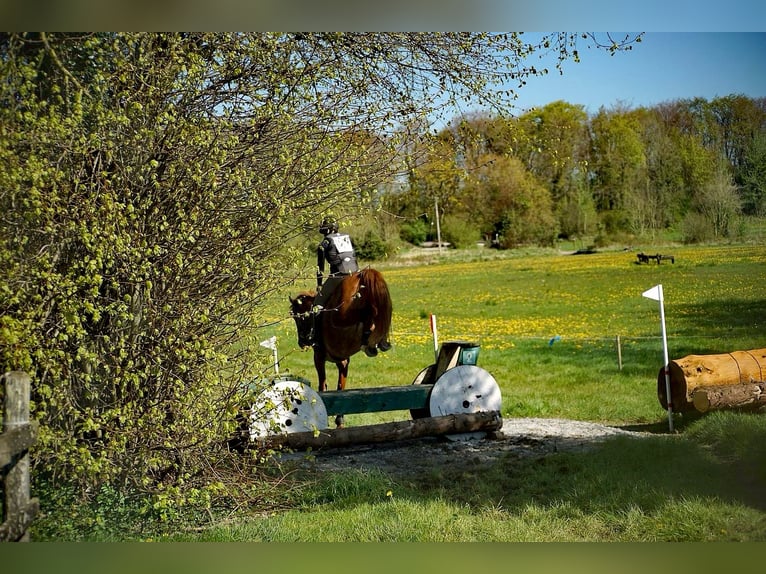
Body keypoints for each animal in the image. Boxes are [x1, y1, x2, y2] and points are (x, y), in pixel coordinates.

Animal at [290, 268, 392, 428]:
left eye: (297, 317)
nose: (302, 342)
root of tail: (360, 275)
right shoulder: (342, 361)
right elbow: (340, 387)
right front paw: (340, 421)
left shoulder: (319, 357)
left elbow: (323, 385)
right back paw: (376, 340)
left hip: (343, 313)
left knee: (365, 312)